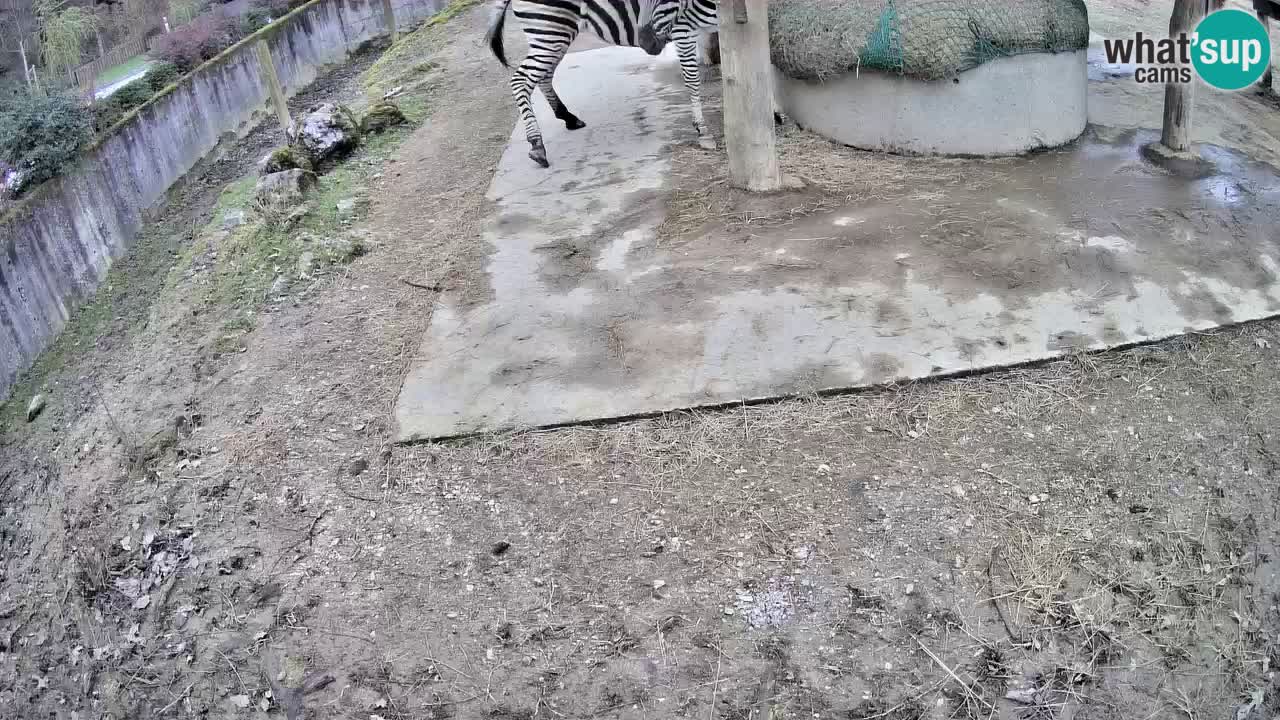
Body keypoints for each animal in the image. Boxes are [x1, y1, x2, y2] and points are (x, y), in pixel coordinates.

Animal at [486, 0, 720, 168]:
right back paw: (537, 145)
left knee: (543, 76)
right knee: (521, 80)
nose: (647, 42)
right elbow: (692, 79)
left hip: (555, 32)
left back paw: (568, 118)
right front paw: (703, 131)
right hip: (550, 29)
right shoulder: (683, 29)